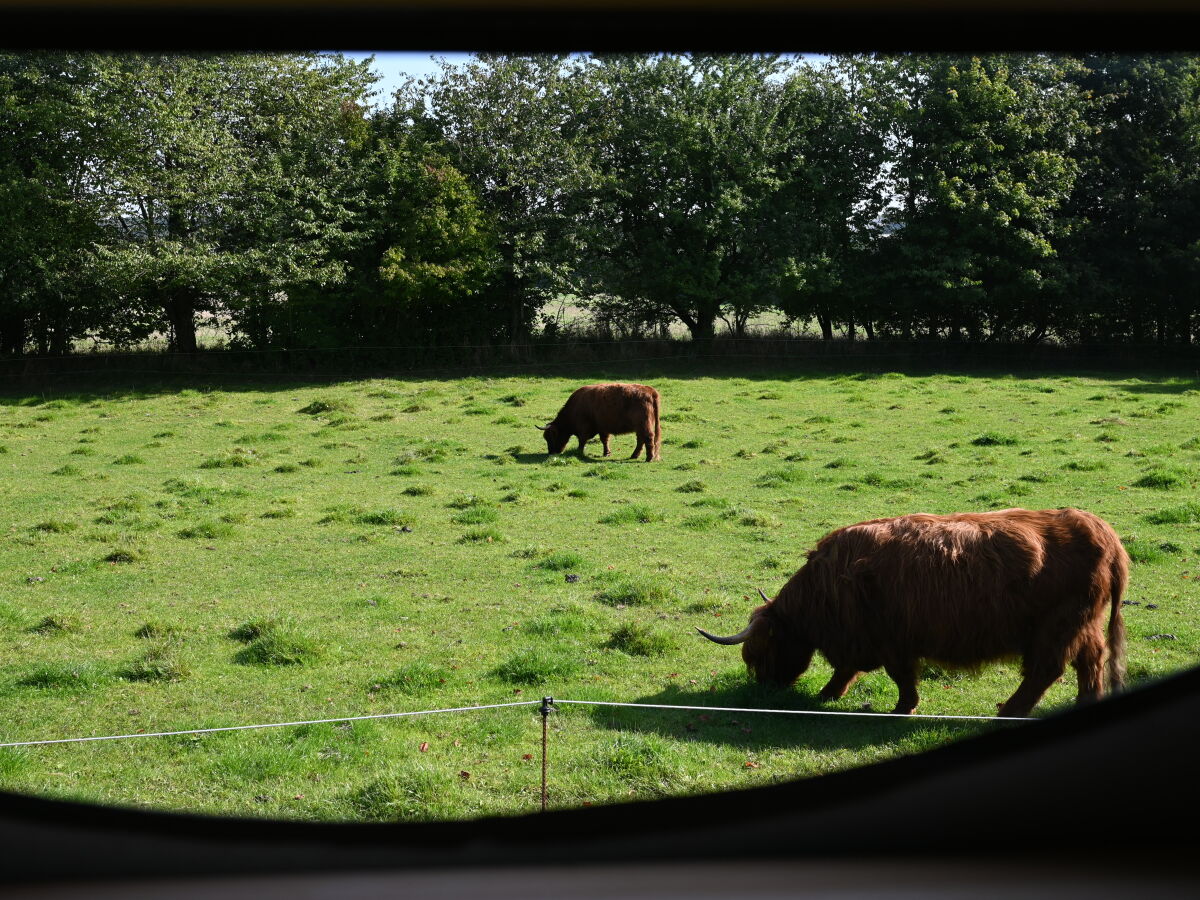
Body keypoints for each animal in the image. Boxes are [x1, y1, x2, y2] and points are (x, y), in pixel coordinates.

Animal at [700, 508, 1128, 720]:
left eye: (759, 653)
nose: (765, 689)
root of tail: (1103, 532)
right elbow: (847, 671)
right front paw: (828, 693)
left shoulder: (887, 640)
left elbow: (897, 676)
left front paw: (903, 707)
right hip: (1084, 623)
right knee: (1090, 660)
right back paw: (1085, 702)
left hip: (1057, 625)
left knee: (1046, 669)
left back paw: (1009, 710)